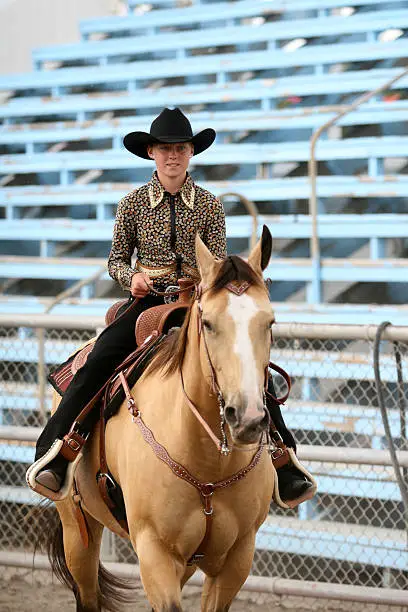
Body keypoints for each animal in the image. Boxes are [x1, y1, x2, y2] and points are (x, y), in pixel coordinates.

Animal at [35, 228, 278, 612]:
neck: (208, 464)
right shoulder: (155, 552)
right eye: (207, 323)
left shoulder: (237, 557)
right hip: (77, 530)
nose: (248, 418)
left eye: (269, 322)